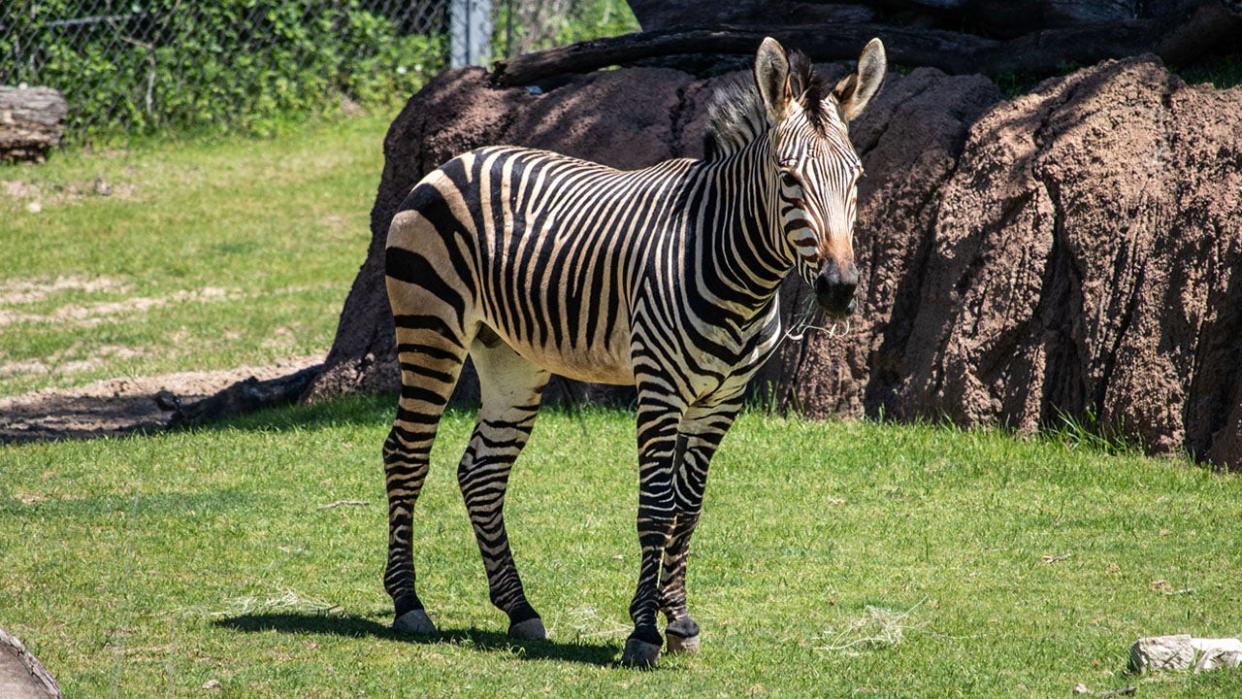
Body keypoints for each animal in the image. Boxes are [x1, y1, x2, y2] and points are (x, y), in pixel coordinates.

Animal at [377, 36, 884, 665]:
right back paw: (408, 603)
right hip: (430, 328)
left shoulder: (723, 400)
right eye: (788, 177)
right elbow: (657, 507)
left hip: (511, 357)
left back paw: (519, 609)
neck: (733, 266)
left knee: (482, 471)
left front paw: (681, 622)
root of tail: (457, 161)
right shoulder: (660, 389)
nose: (840, 288)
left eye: (857, 178)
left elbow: (688, 509)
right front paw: (643, 631)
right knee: (405, 454)